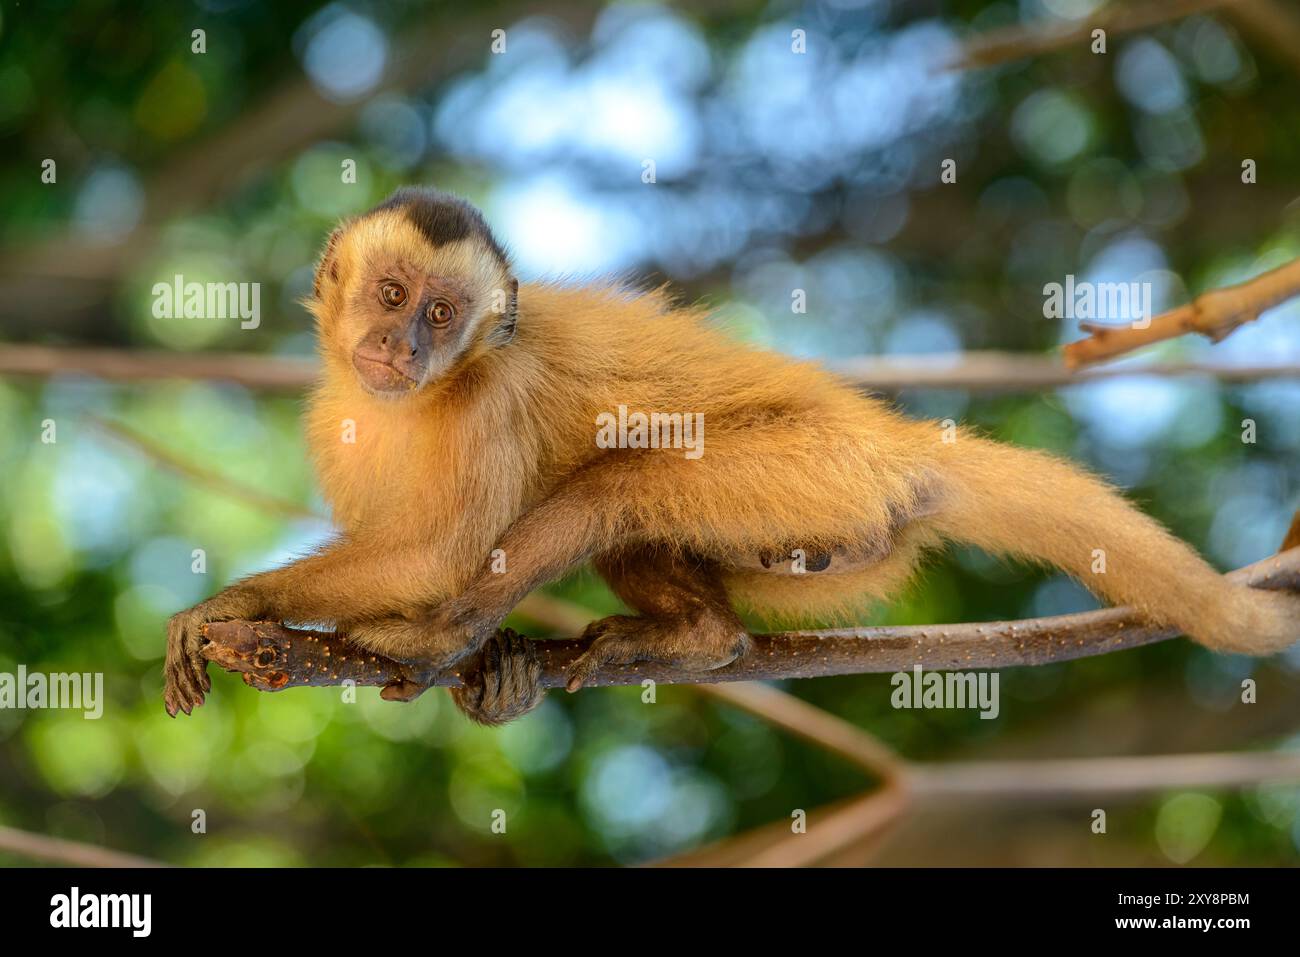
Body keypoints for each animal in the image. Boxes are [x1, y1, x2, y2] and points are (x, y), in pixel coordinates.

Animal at [162, 187, 1300, 722]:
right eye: (393, 296)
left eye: (443, 315)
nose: (402, 347)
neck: (423, 393)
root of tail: (888, 437)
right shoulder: (335, 418)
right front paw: (495, 674)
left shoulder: (490, 396)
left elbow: (436, 554)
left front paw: (236, 611)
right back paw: (697, 638)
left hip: (812, 471)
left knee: (620, 483)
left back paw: (448, 635)